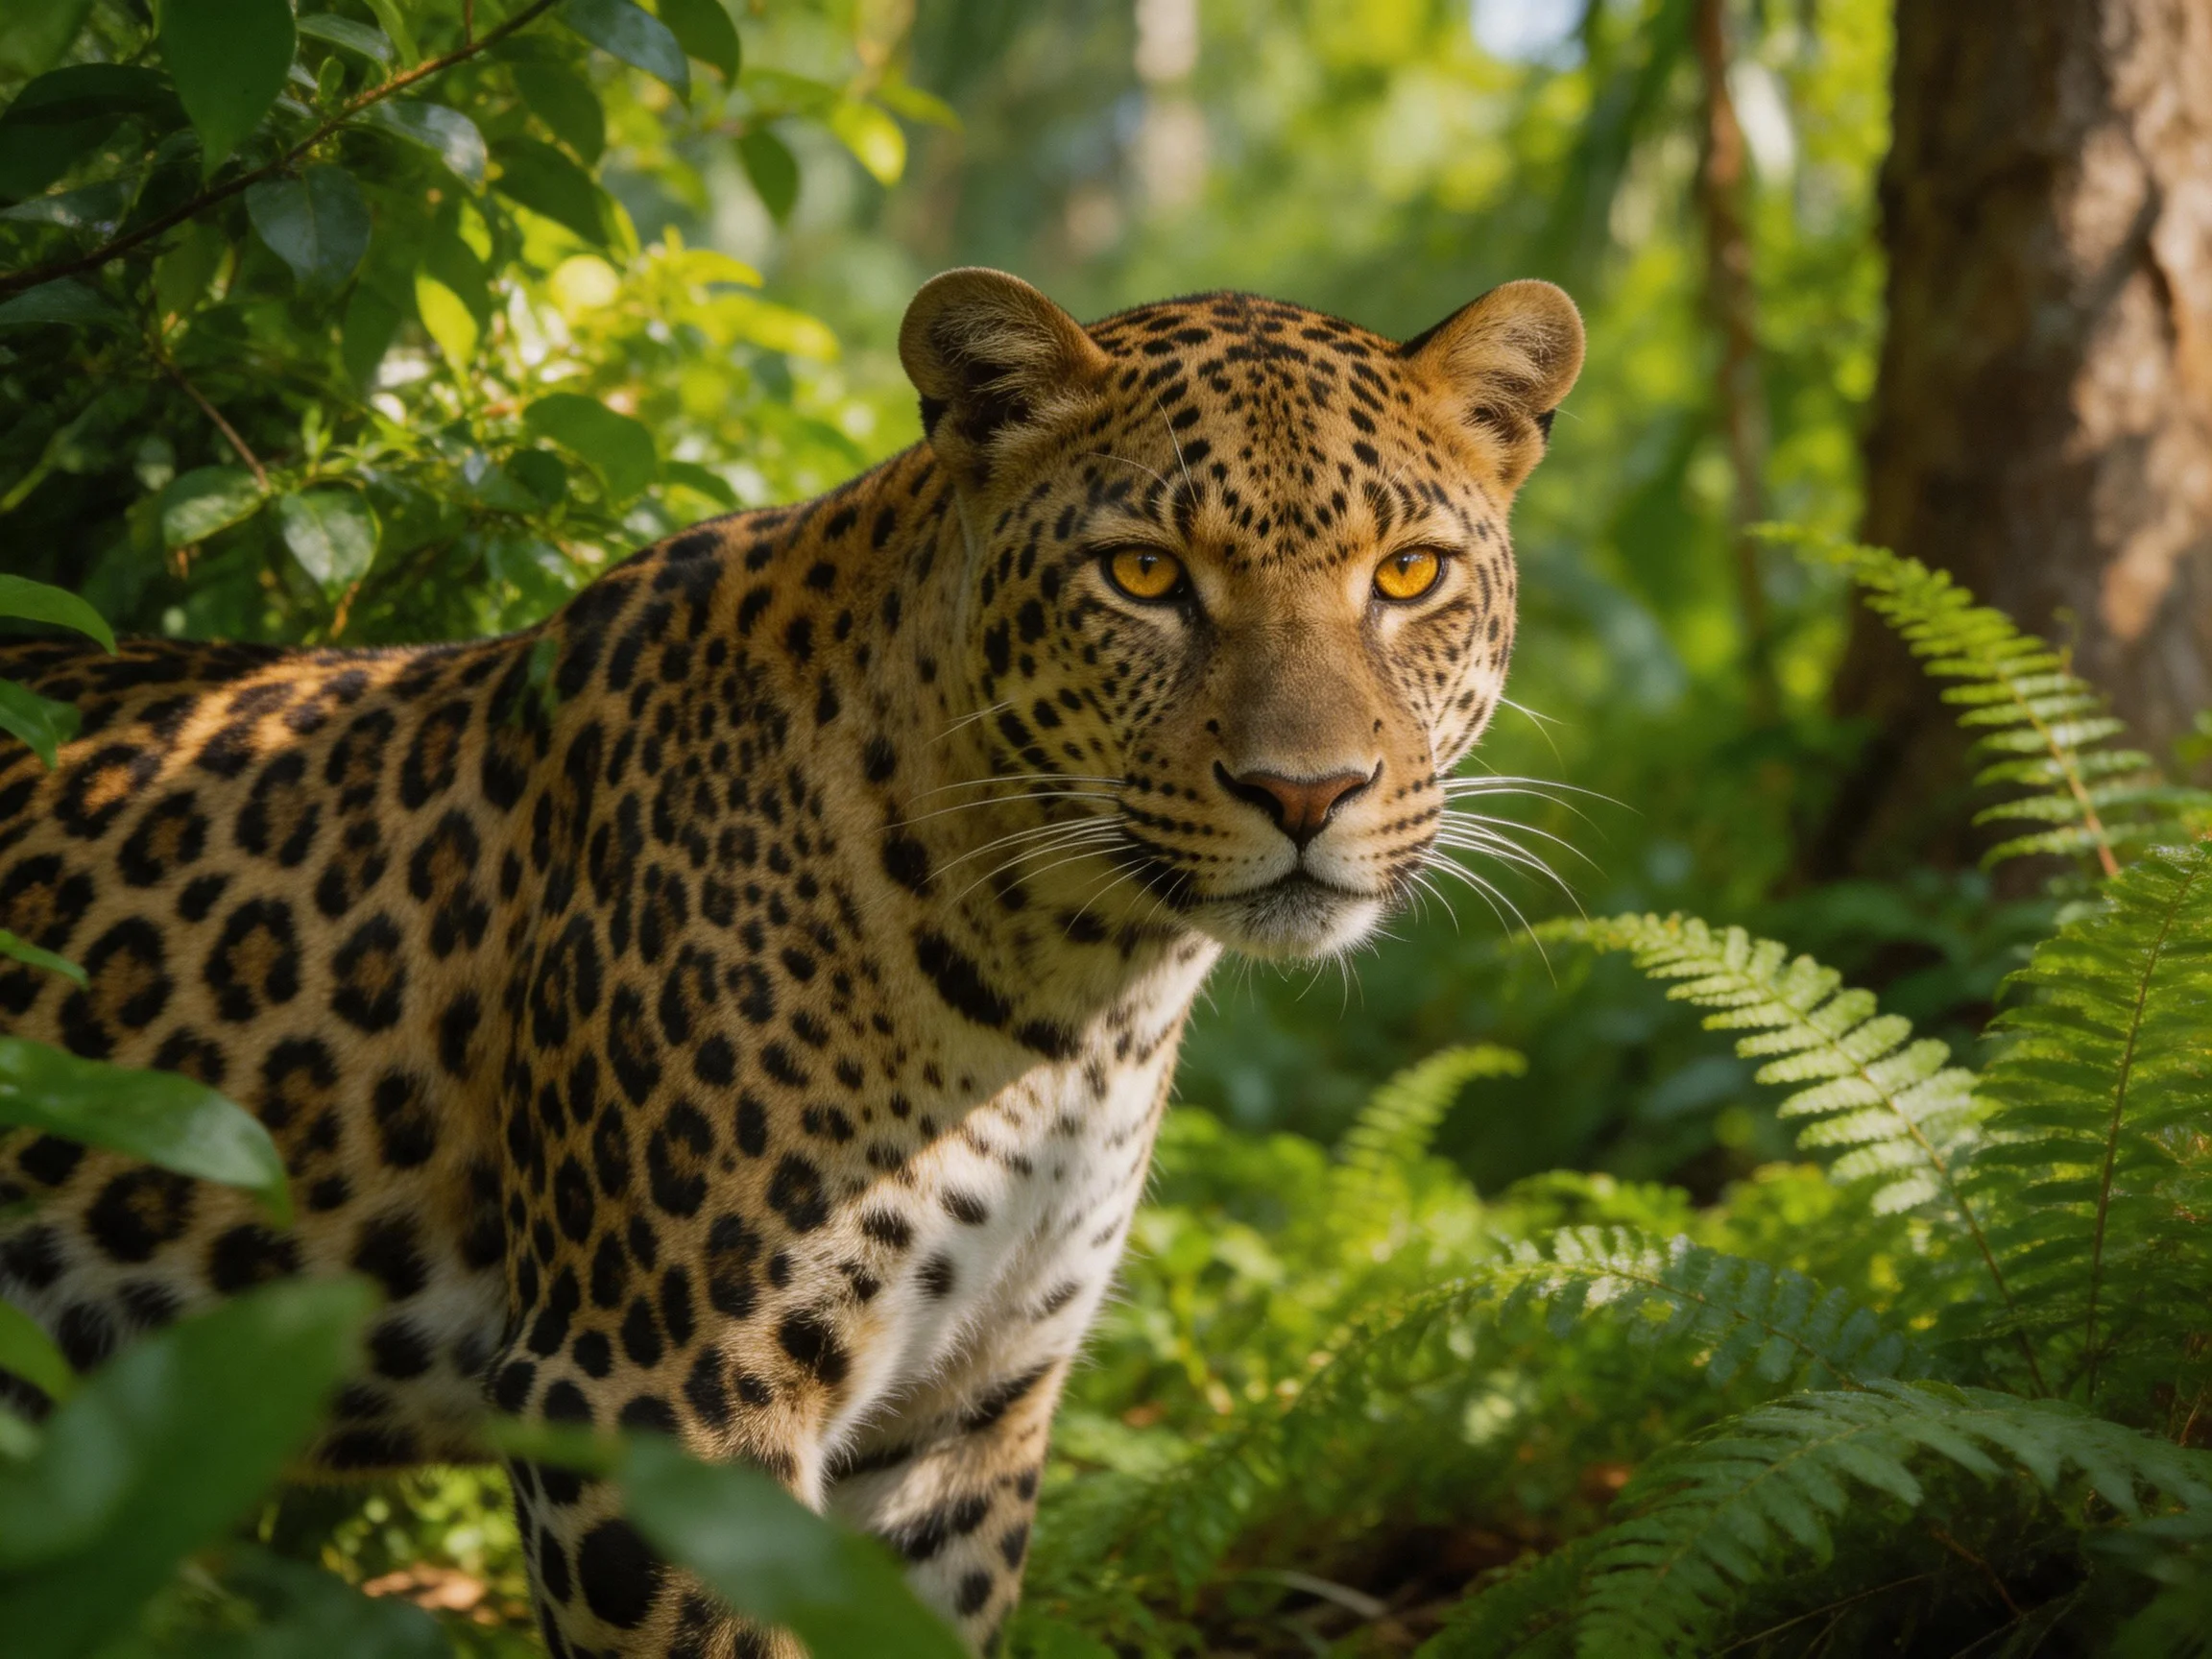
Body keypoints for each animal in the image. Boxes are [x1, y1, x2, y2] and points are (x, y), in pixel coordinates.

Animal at [0, 267, 1582, 1657]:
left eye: (1409, 573)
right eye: (1144, 575)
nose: (1306, 794)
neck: (1077, 984)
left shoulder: (966, 1414)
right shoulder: (652, 1399)